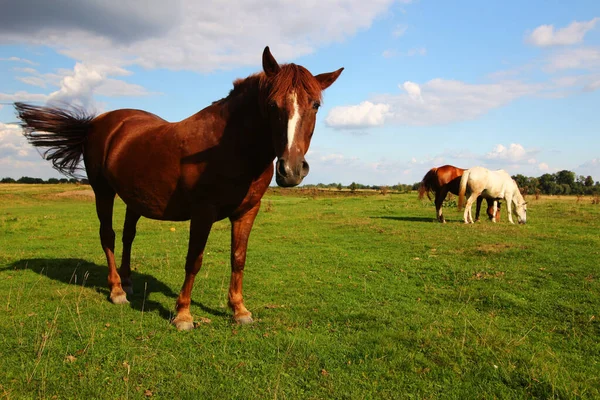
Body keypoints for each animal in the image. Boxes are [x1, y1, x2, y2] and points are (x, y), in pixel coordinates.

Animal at [15, 45, 342, 330]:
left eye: (315, 105)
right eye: (272, 105)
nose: (291, 170)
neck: (230, 146)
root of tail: (98, 123)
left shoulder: (248, 211)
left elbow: (238, 258)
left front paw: (239, 310)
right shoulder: (203, 213)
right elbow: (194, 261)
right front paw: (183, 315)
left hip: (134, 199)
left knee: (128, 237)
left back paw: (129, 282)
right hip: (103, 192)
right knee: (108, 236)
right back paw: (117, 290)